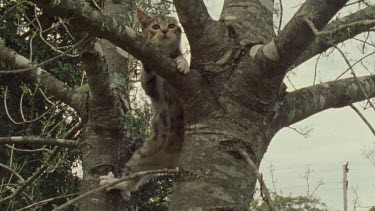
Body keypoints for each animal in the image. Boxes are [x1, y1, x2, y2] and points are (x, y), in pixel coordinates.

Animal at [99, 9, 189, 195]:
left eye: (171, 25)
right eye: (155, 26)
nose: (164, 30)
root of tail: (173, 160)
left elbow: (180, 60)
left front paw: (183, 62)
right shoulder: (152, 90)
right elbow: (148, 79)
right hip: (145, 153)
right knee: (131, 180)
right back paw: (116, 182)